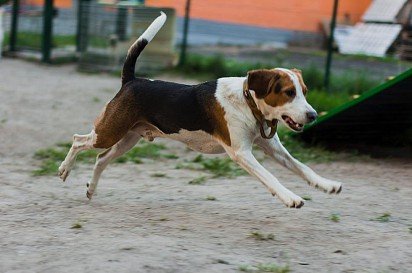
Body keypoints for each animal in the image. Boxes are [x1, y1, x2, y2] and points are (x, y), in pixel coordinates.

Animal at [58, 11, 342, 207]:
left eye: (305, 91)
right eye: (289, 93)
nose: (313, 115)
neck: (247, 103)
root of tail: (132, 80)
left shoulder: (273, 149)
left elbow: (302, 167)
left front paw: (327, 184)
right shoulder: (242, 153)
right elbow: (270, 177)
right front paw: (290, 197)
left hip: (127, 139)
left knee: (100, 159)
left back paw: (91, 189)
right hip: (108, 133)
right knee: (78, 140)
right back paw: (64, 169)